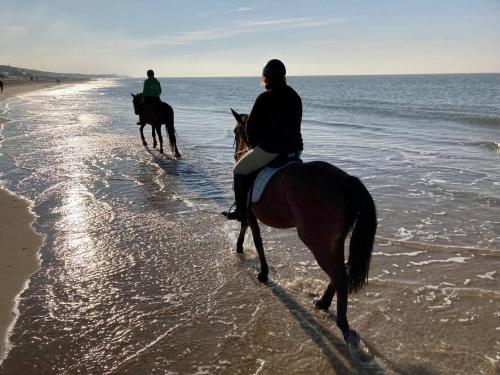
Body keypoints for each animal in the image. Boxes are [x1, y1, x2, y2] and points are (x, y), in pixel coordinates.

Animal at [229, 109, 376, 346]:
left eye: (236, 131)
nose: (237, 155)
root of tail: (345, 181)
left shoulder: (250, 212)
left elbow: (256, 238)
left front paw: (262, 271)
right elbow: (247, 229)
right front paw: (242, 249)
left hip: (316, 240)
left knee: (339, 275)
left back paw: (341, 322)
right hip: (334, 240)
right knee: (340, 271)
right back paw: (323, 303)